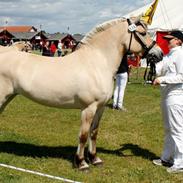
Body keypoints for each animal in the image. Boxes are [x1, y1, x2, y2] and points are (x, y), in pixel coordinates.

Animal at [0, 16, 162, 170]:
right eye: (142, 33)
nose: (159, 54)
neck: (97, 63)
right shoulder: (88, 108)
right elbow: (83, 135)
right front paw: (81, 163)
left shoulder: (100, 108)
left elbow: (94, 133)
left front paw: (95, 159)